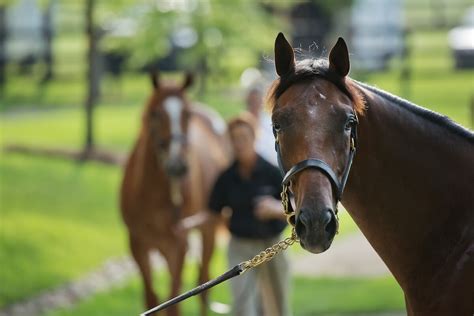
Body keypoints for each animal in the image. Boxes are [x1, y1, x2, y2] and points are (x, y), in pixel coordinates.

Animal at [119, 72, 229, 316]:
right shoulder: (137, 243)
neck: (150, 194)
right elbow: (152, 300)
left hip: (207, 229)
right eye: (155, 113)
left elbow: (174, 302)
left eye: (187, 114)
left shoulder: (178, 245)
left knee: (203, 284)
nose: (177, 164)